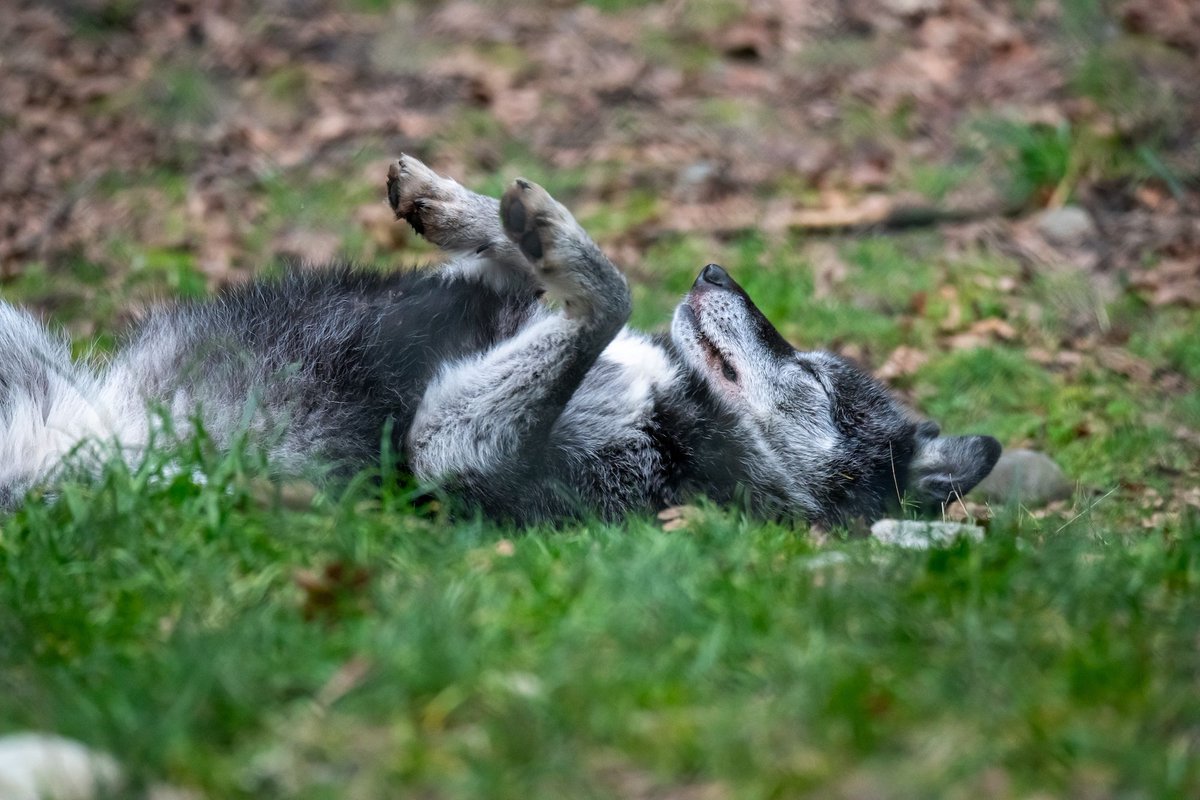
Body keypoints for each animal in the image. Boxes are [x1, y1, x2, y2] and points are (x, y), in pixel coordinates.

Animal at [0, 155, 999, 526]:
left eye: (814, 380)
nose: (716, 274)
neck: (676, 410)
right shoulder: (507, 302)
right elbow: (534, 263)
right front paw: (461, 202)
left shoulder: (449, 452)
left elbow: (606, 292)